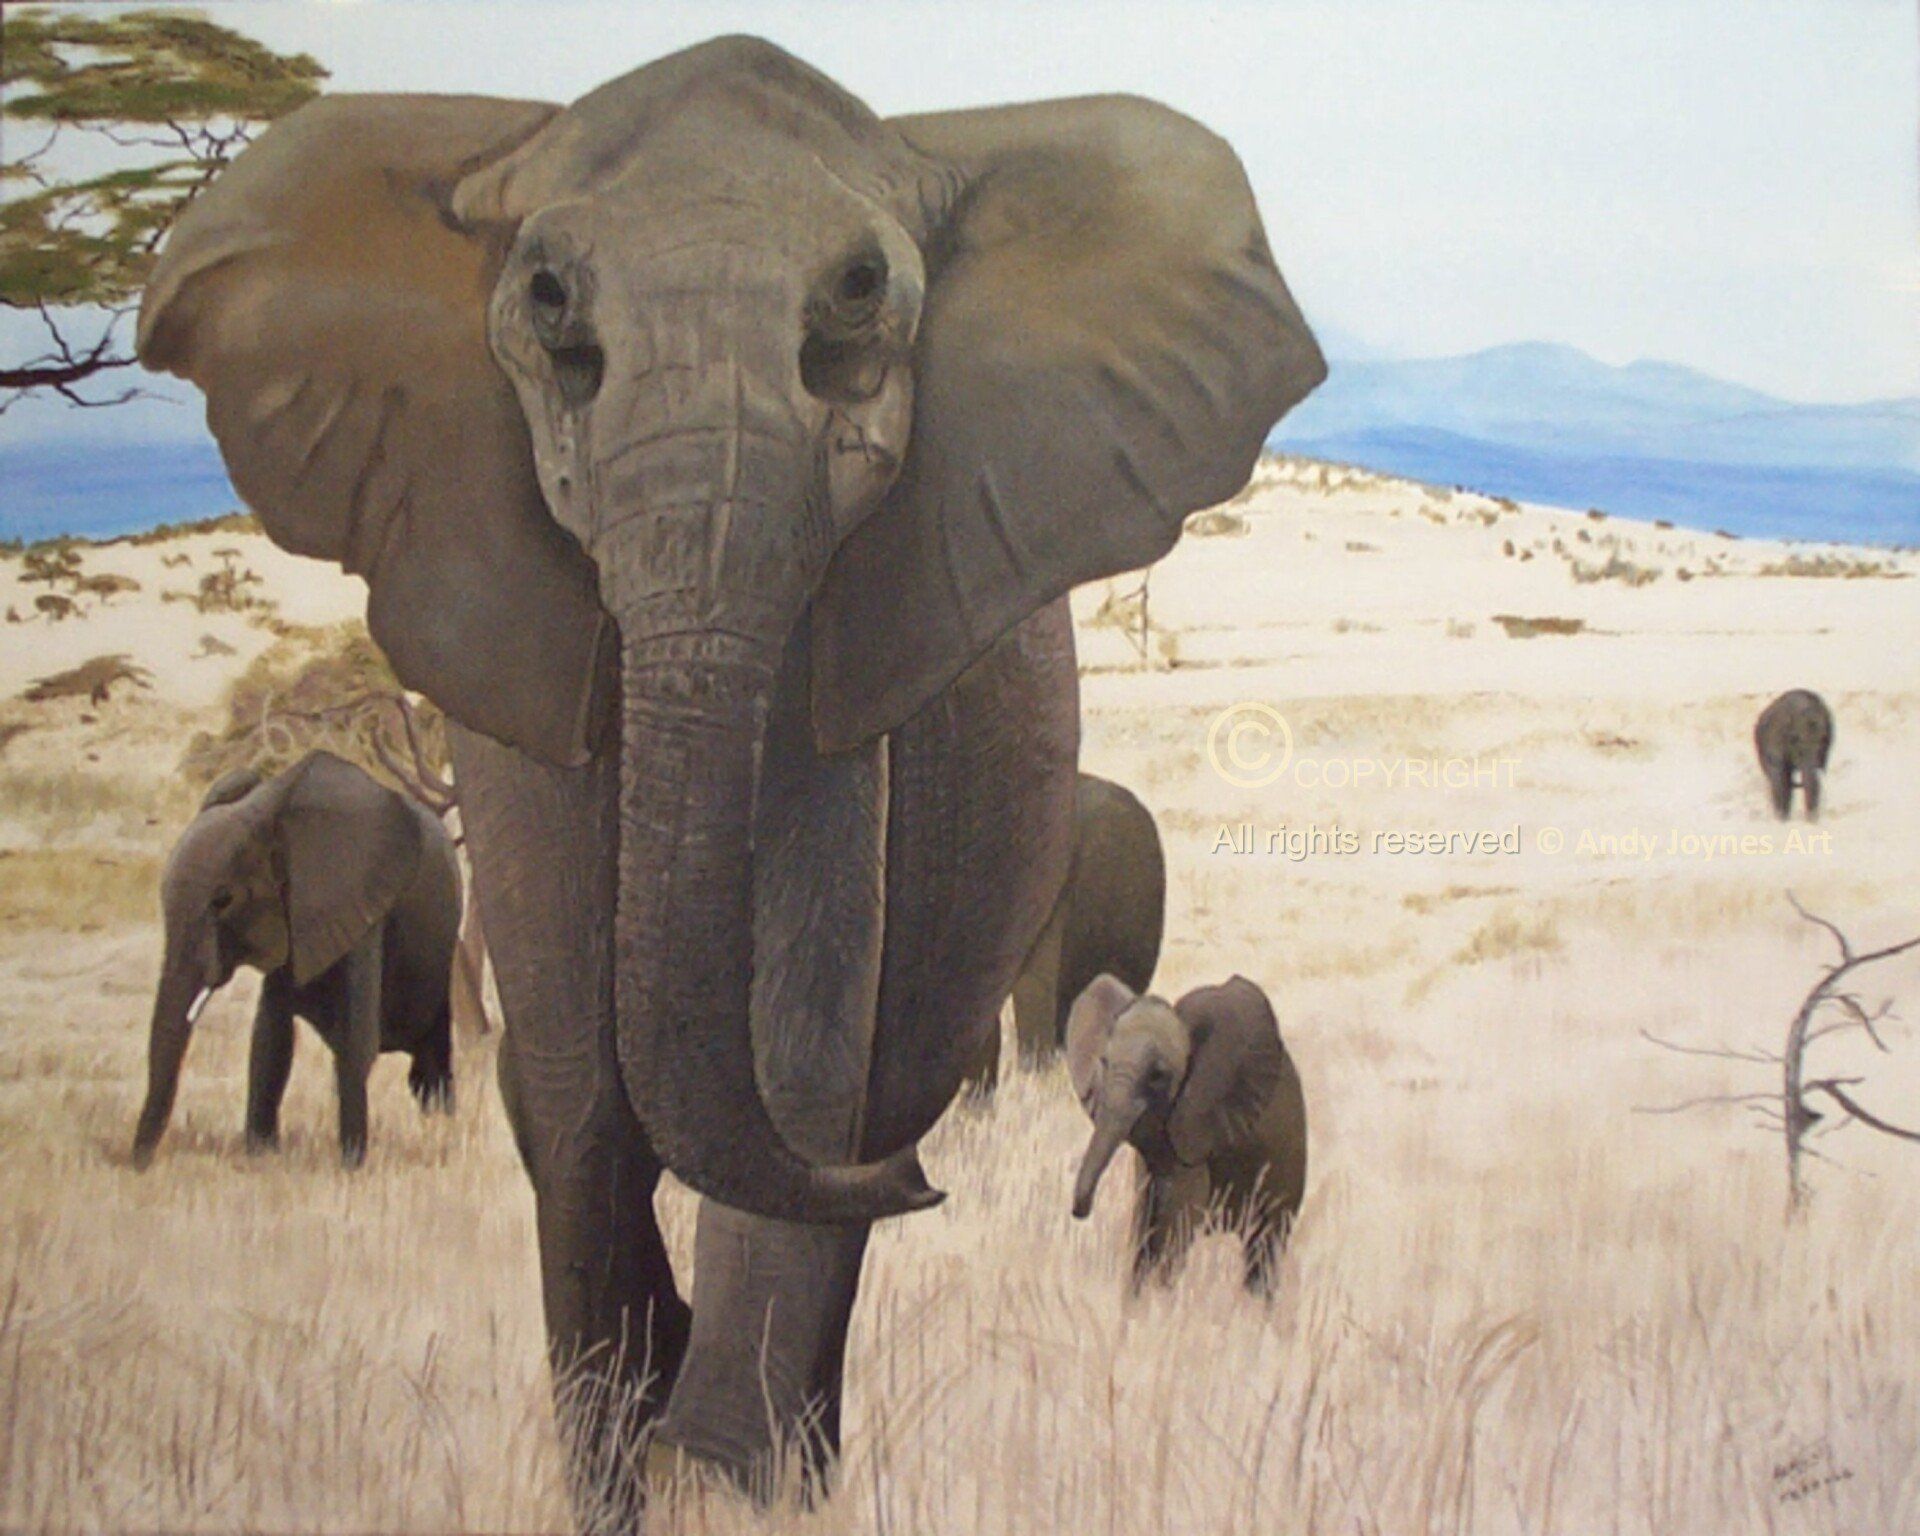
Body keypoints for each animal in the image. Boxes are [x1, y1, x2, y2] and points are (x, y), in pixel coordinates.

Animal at [131, 752, 461, 1170]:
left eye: (224, 900)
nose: (139, 1165)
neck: (272, 806)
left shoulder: (362, 902)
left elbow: (357, 1038)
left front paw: (351, 1167)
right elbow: (271, 1034)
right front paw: (261, 1155)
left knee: (431, 1064)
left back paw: (442, 1125)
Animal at [1066, 973, 1307, 1295]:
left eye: (1157, 1075)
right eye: (1103, 1062)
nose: (1079, 1211)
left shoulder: (1195, 1126)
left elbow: (1179, 1216)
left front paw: (1159, 1299)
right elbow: (1145, 1221)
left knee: (1266, 1241)